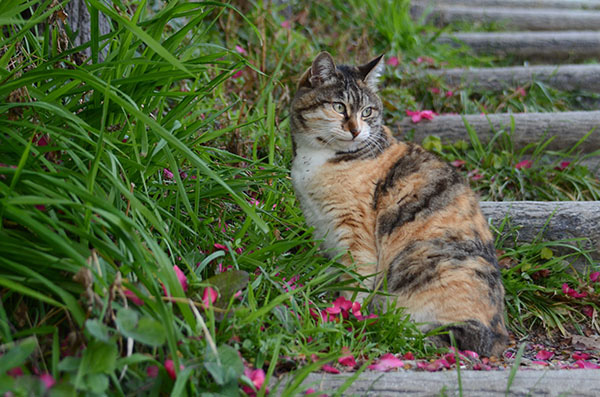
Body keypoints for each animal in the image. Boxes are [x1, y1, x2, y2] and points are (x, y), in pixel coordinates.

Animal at [288, 51, 508, 358]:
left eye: (367, 111)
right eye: (338, 107)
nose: (355, 130)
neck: (318, 159)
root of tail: (498, 337)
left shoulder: (356, 234)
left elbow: (355, 280)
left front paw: (346, 317)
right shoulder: (320, 225)